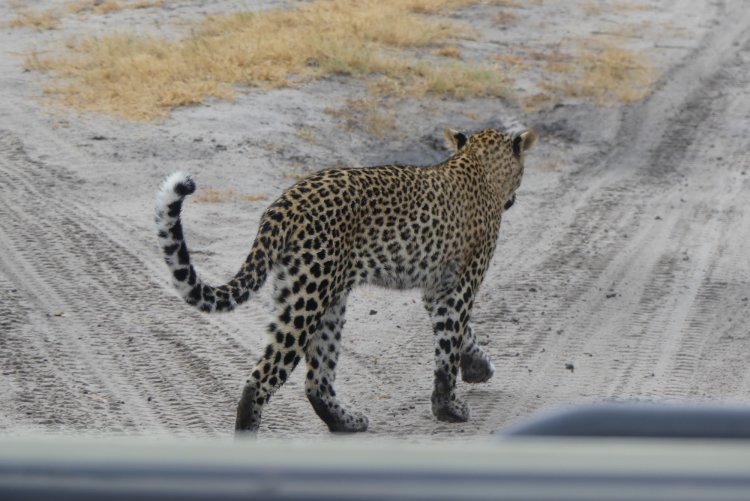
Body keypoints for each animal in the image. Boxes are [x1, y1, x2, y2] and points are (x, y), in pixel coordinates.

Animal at [156, 126, 536, 434]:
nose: (514, 198)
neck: (479, 163)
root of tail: (284, 203)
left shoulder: (436, 289)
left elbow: (462, 336)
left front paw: (478, 368)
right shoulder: (460, 285)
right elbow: (449, 346)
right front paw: (450, 408)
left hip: (319, 294)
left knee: (316, 380)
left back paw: (347, 422)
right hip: (309, 296)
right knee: (261, 379)